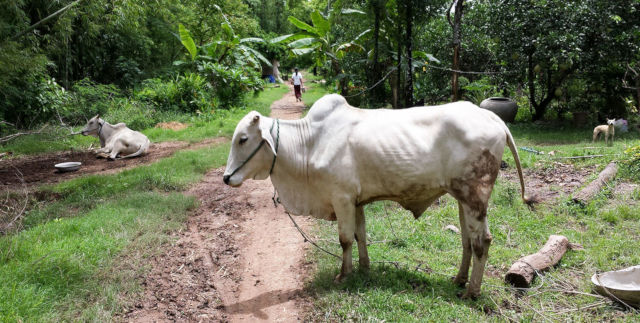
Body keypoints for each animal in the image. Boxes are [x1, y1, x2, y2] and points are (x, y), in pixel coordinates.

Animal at [222, 93, 528, 298]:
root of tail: (490, 116)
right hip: (463, 198)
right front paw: (364, 268)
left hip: (476, 196)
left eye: (243, 139)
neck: (310, 143)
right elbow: (360, 235)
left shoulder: (342, 198)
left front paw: (343, 275)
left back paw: (472, 292)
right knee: (467, 240)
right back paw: (459, 280)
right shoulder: (355, 201)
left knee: (482, 242)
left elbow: (345, 239)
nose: (226, 178)